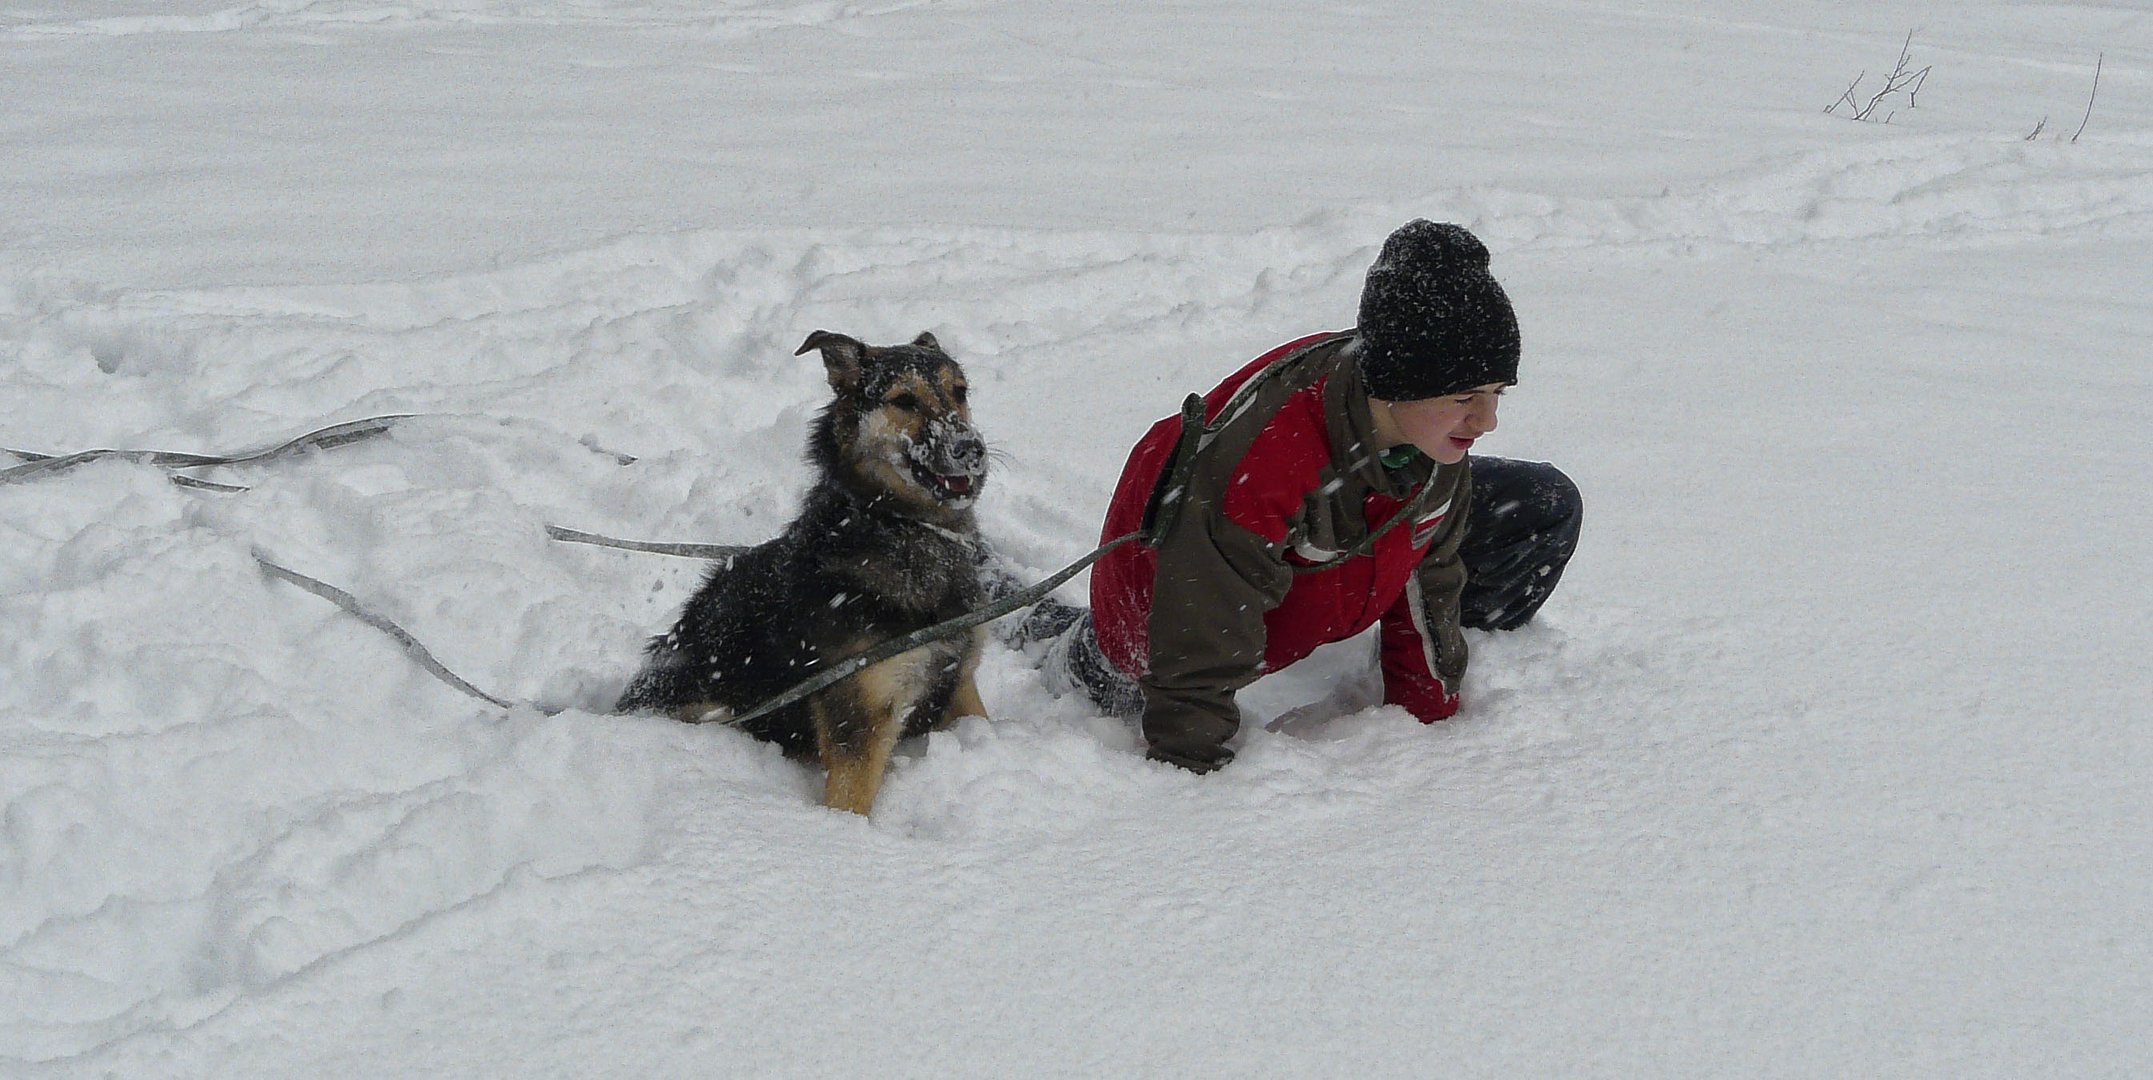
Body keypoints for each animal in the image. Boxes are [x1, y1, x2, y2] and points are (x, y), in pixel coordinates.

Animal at [620, 333, 994, 813]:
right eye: (904, 400)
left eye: (960, 392)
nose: (971, 449)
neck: (894, 523)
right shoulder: (860, 714)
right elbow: (850, 804)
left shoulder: (960, 682)